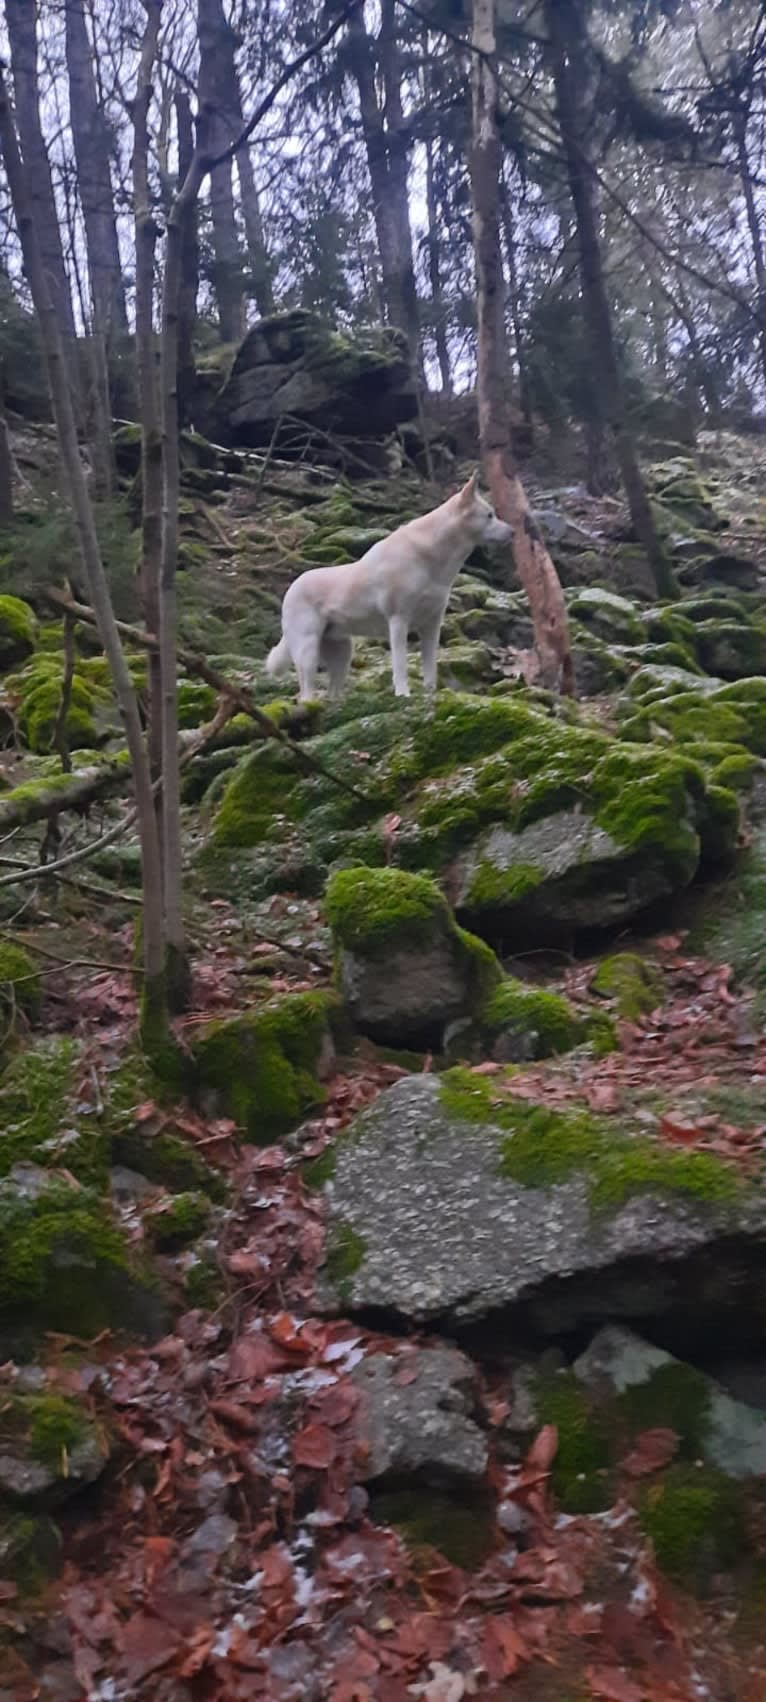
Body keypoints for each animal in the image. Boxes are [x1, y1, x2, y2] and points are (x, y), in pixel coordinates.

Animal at [265, 469, 514, 701]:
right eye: (489, 515)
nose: (513, 531)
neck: (429, 559)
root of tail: (291, 588)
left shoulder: (432, 625)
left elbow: (430, 667)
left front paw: (430, 694)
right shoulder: (398, 620)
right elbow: (400, 665)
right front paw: (403, 694)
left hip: (343, 653)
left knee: (332, 692)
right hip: (308, 651)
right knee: (305, 692)